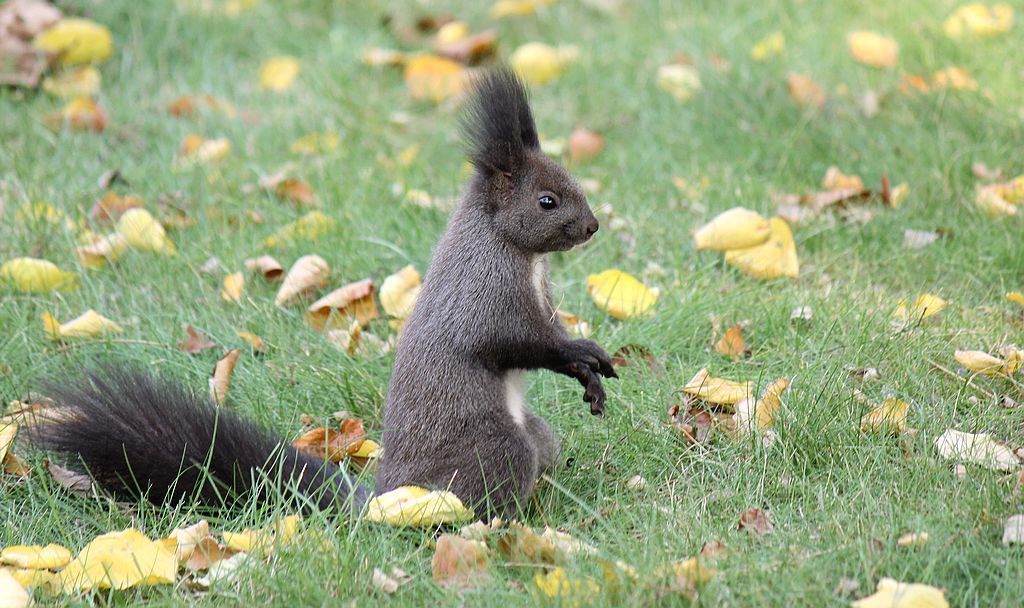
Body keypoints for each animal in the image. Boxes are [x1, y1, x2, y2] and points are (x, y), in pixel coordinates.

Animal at [32, 67, 614, 519]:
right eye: (546, 200)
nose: (591, 227)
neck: (518, 251)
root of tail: (387, 497)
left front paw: (587, 373)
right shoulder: (483, 289)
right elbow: (509, 339)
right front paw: (581, 354)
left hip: (536, 437)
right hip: (494, 449)